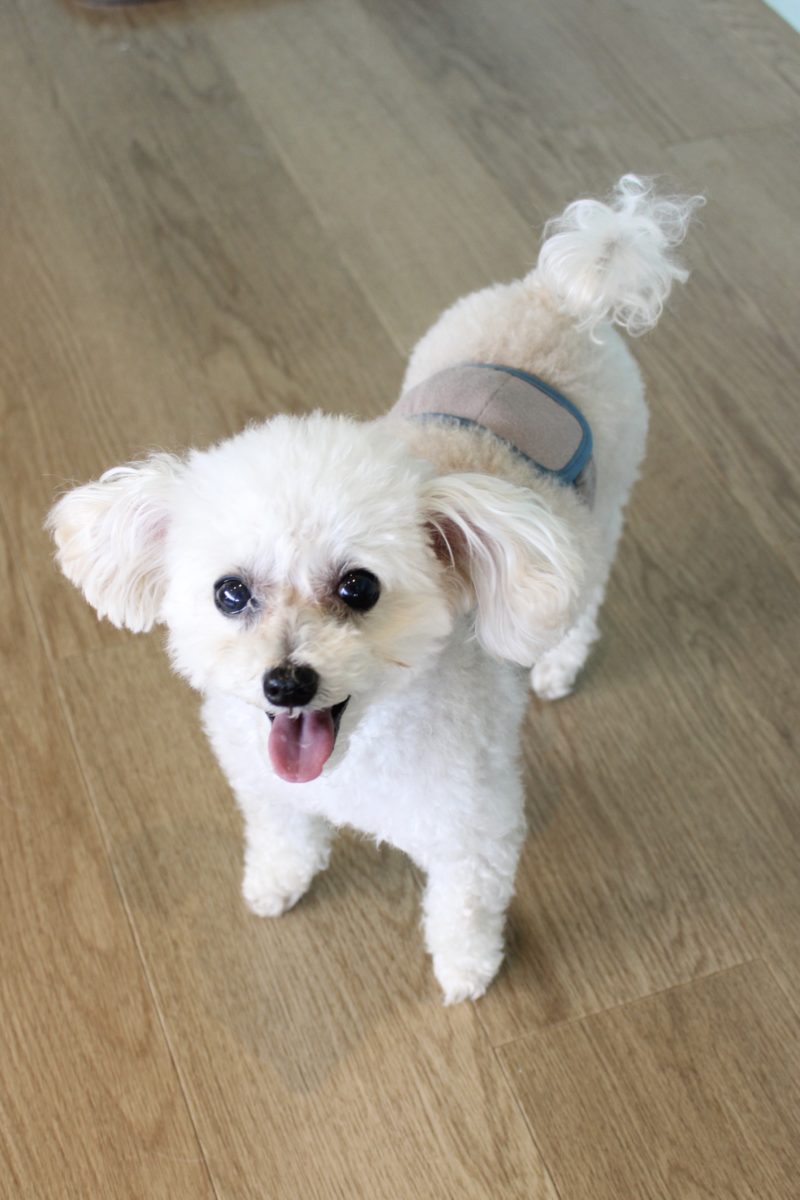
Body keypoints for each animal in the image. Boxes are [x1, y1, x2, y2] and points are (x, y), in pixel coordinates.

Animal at [48, 175, 702, 1003]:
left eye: (360, 588)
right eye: (230, 594)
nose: (287, 682)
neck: (353, 756)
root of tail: (557, 293)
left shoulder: (472, 827)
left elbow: (463, 908)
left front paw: (466, 970)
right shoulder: (268, 789)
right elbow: (284, 833)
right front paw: (278, 882)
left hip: (603, 504)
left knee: (583, 598)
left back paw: (557, 663)